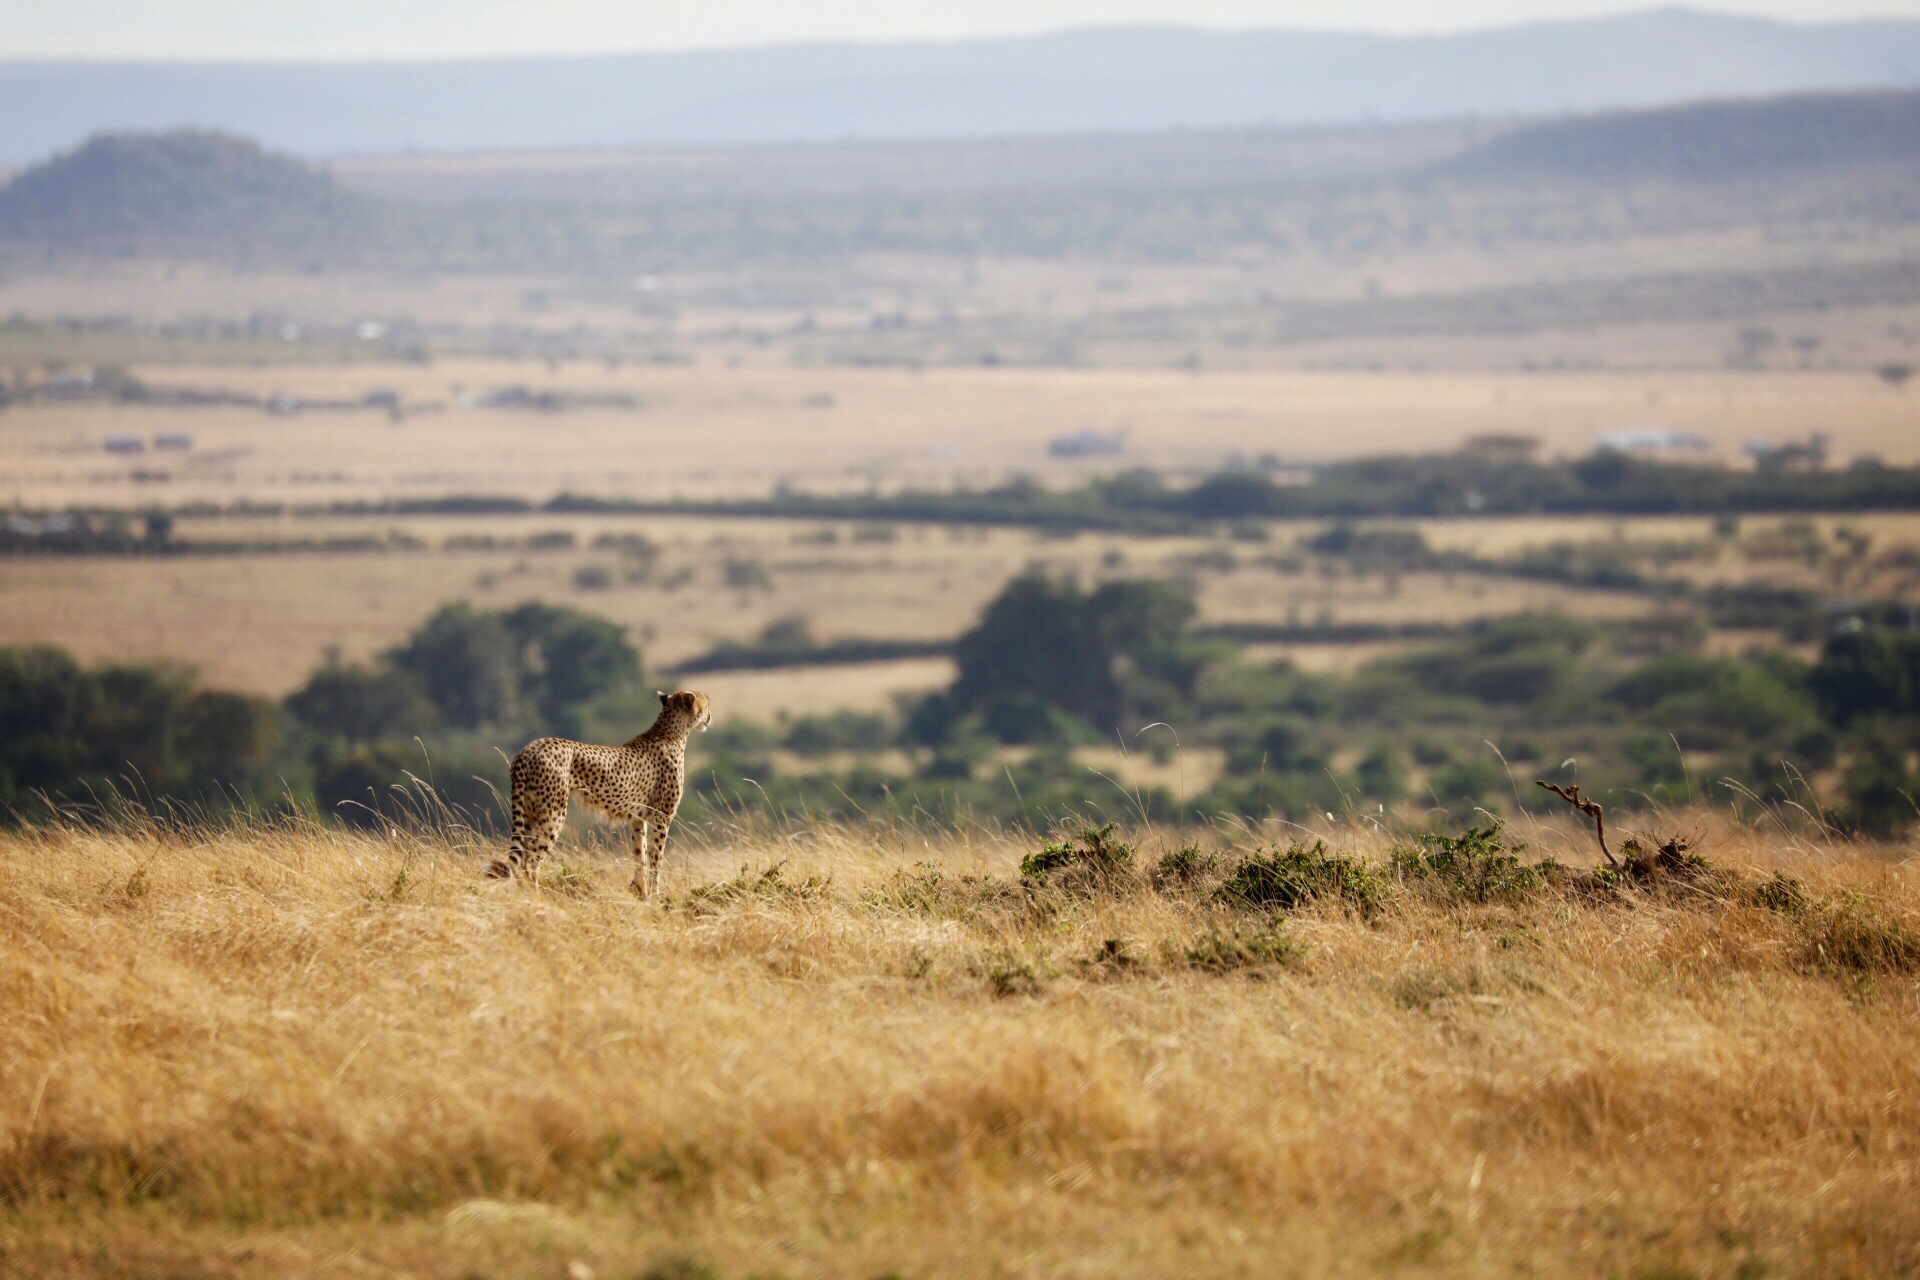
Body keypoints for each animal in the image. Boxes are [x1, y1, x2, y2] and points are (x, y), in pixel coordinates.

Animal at [487, 694, 714, 898]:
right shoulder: (661, 817)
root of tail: (529, 749)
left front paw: (641, 892)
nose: (710, 716)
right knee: (530, 860)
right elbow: (655, 858)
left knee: (522, 856)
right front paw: (655, 896)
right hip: (553, 814)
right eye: (706, 703)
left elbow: (639, 855)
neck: (671, 732)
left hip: (530, 814)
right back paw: (537, 898)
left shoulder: (638, 819)